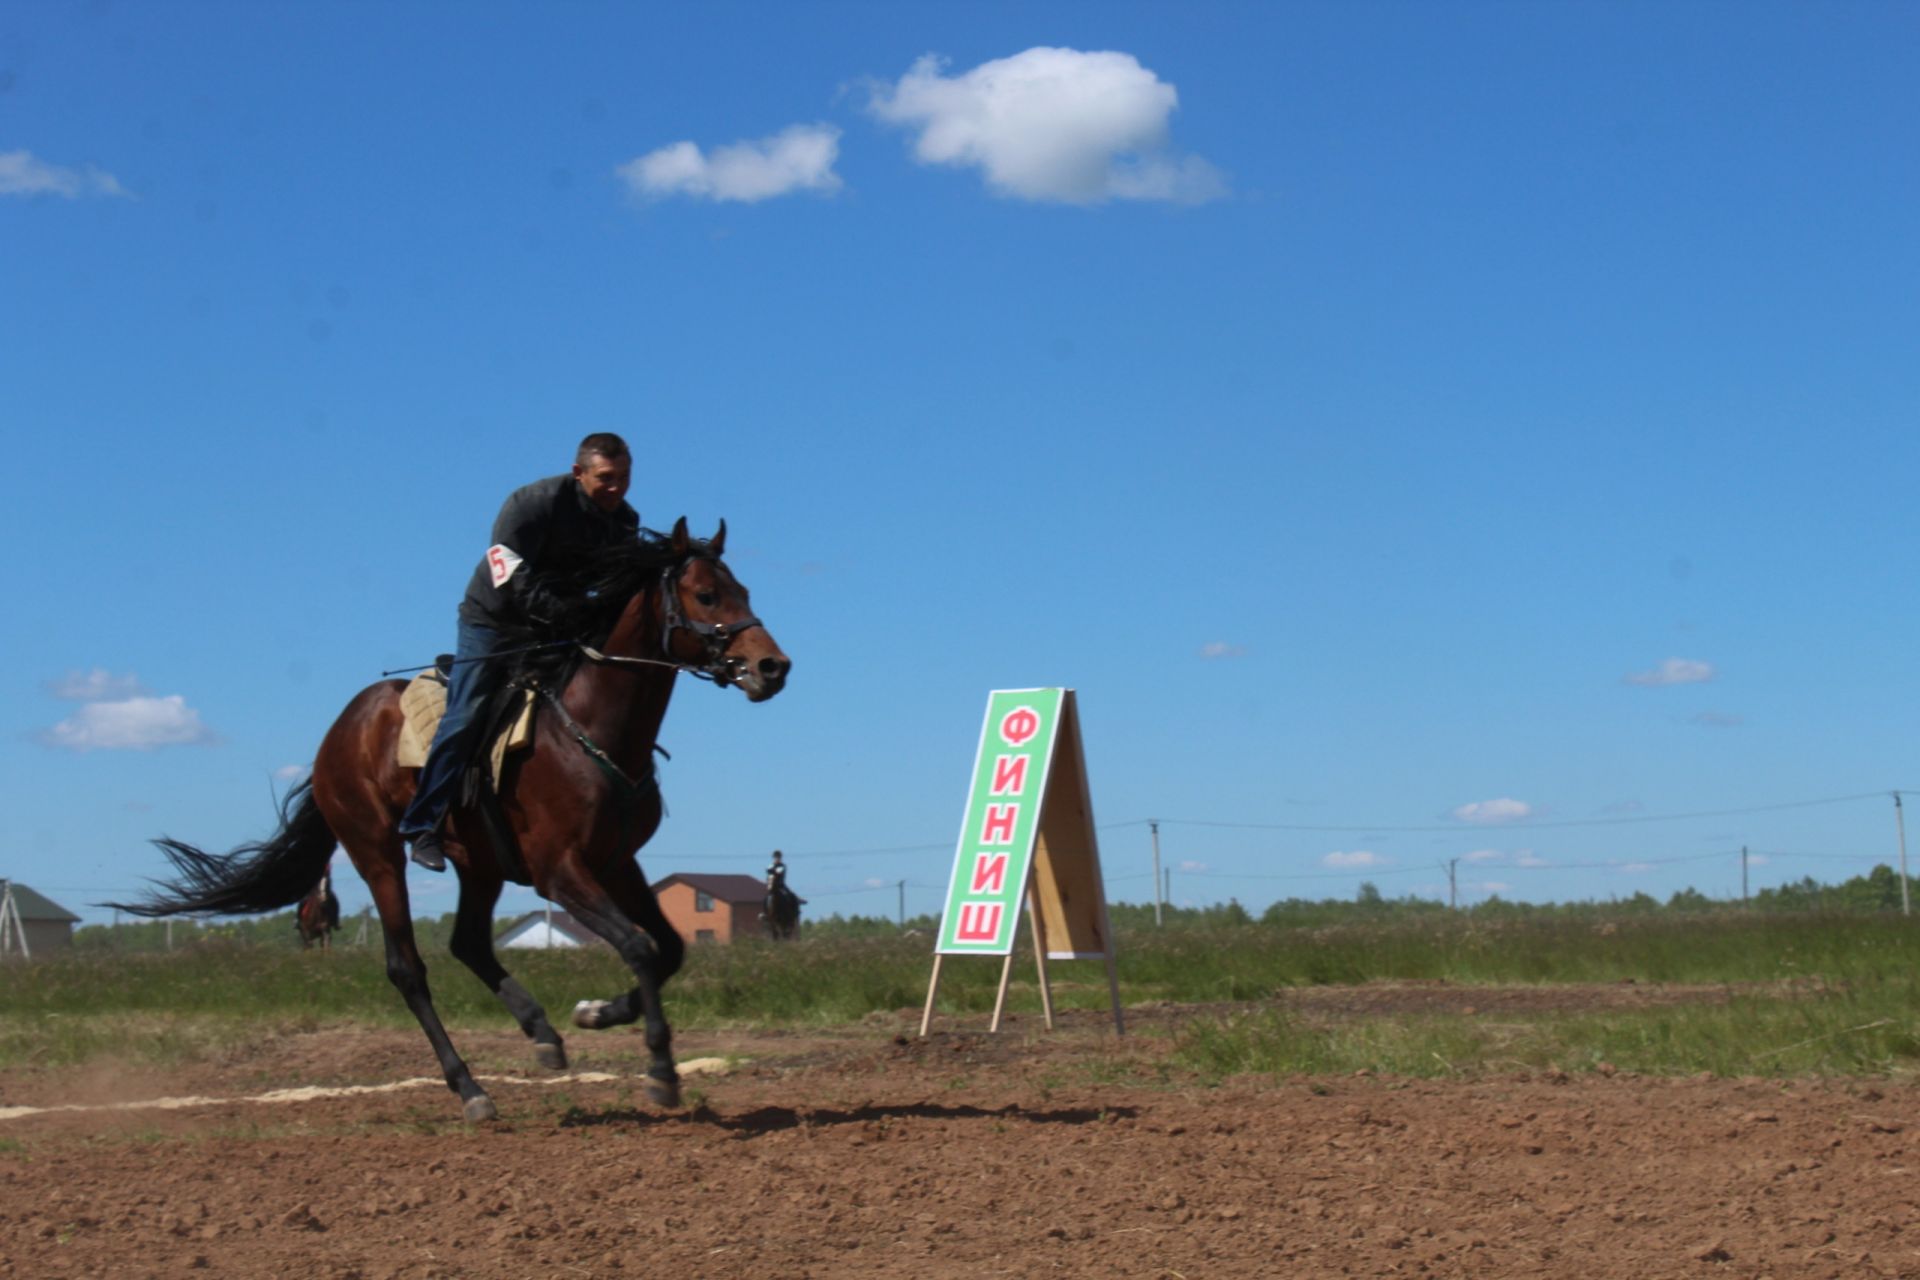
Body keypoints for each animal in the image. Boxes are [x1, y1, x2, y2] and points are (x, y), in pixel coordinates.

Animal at [108, 521, 787, 1120]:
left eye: (746, 590)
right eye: (706, 595)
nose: (772, 667)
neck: (589, 729)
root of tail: (336, 734)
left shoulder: (618, 863)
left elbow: (668, 948)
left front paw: (594, 1012)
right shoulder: (559, 872)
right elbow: (642, 947)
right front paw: (661, 1071)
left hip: (479, 864)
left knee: (468, 943)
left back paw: (541, 1031)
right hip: (377, 853)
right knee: (408, 969)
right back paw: (471, 1090)